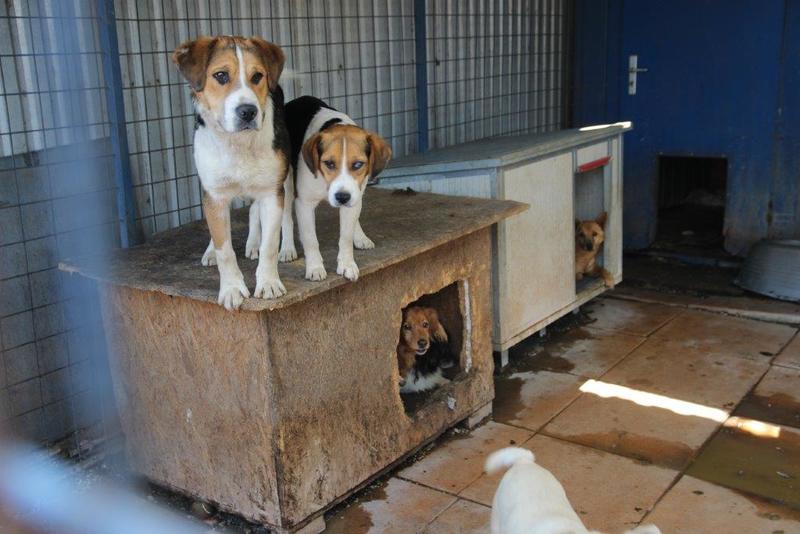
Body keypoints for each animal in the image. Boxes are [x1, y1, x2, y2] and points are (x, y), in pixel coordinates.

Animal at [173, 36, 289, 310]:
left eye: (257, 76)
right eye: (221, 75)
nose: (248, 111)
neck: (238, 143)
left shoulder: (272, 193)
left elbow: (270, 244)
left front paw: (268, 283)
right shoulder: (215, 195)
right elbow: (224, 248)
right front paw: (232, 289)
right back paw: (211, 251)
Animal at [249, 96, 392, 282]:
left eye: (358, 164)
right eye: (329, 163)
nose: (342, 197)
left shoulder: (354, 196)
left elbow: (345, 237)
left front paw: (347, 263)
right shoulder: (304, 204)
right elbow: (310, 240)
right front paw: (315, 268)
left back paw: (360, 236)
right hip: (285, 182)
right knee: (283, 216)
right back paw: (285, 248)